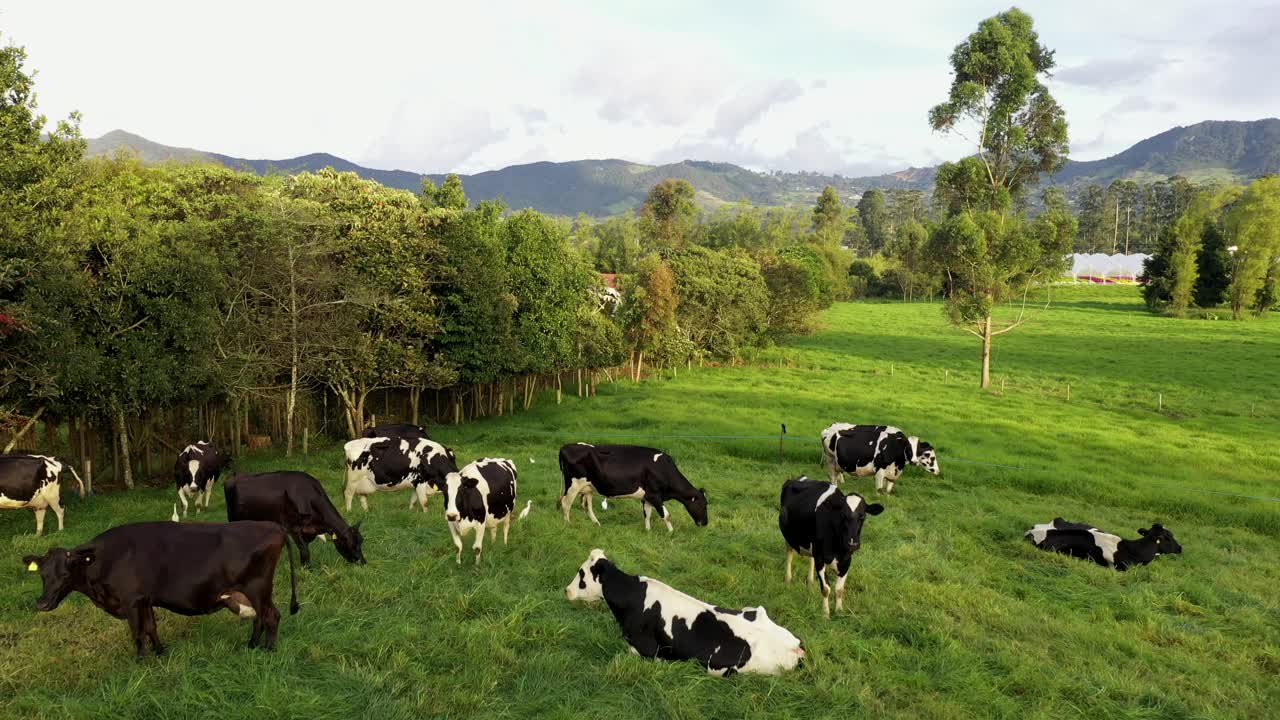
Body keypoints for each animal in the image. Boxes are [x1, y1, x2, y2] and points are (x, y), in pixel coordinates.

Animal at [22, 520, 299, 657]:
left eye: (66, 573)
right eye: (43, 575)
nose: (42, 603)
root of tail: (274, 526)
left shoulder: (131, 600)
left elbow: (137, 632)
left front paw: (140, 660)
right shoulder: (145, 599)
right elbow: (151, 627)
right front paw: (159, 652)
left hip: (258, 587)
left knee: (271, 616)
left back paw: (269, 650)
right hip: (253, 591)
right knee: (260, 617)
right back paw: (251, 645)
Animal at [225, 470, 367, 566]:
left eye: (361, 542)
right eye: (351, 544)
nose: (363, 562)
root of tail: (233, 476)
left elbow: (305, 549)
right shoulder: (293, 527)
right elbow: (304, 550)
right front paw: (308, 570)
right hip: (233, 518)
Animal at [558, 443, 708, 532]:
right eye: (704, 504)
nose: (705, 523)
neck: (663, 469)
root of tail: (566, 447)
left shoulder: (647, 497)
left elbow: (647, 513)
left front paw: (648, 531)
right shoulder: (655, 495)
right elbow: (666, 515)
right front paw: (671, 533)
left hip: (588, 487)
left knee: (586, 505)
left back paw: (597, 524)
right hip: (573, 485)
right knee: (565, 503)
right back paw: (568, 524)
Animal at [778, 476, 885, 618]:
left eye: (863, 516)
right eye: (843, 515)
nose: (852, 543)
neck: (838, 548)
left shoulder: (847, 559)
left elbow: (839, 589)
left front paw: (839, 611)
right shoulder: (820, 557)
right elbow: (825, 589)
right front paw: (825, 614)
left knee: (810, 559)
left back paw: (810, 582)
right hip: (789, 538)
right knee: (789, 556)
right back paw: (788, 579)